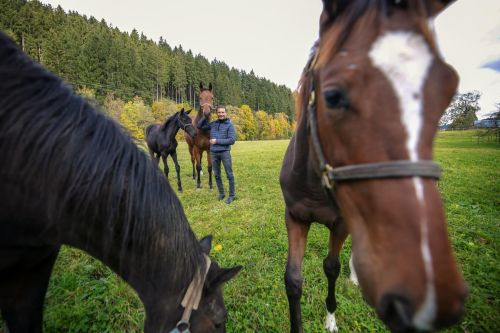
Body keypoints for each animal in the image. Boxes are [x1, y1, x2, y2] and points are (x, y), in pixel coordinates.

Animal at [0, 31, 242, 332]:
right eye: (201, 96)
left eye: (213, 95)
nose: (202, 119)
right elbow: (184, 167)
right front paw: (191, 184)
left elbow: (204, 168)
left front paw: (205, 186)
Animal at [280, 1, 466, 330]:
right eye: (332, 96)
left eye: (448, 92)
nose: (429, 300)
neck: (315, 184)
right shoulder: (295, 217)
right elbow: (293, 279)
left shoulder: (341, 223)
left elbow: (331, 266)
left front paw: (331, 318)